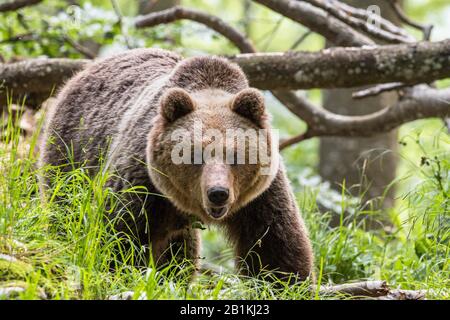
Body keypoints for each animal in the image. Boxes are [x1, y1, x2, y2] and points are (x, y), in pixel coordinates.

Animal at [38, 48, 312, 282]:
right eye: (195, 155)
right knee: (66, 209)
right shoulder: (144, 181)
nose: (218, 193)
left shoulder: (259, 195)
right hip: (71, 154)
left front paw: (284, 282)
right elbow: (121, 234)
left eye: (235, 156)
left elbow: (275, 248)